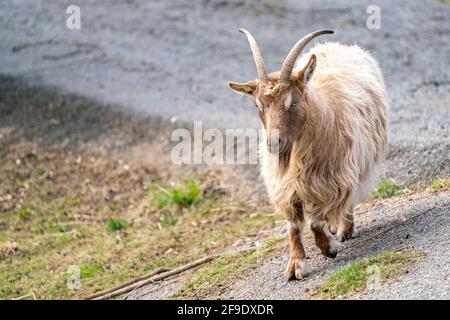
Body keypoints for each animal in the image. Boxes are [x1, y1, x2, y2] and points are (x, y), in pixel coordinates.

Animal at [229, 30, 386, 280]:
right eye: (258, 106)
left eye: (292, 101)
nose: (274, 143)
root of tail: (337, 45)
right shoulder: (287, 188)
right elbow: (294, 227)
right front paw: (295, 265)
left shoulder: (331, 180)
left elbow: (315, 222)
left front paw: (330, 248)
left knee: (348, 199)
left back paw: (344, 229)